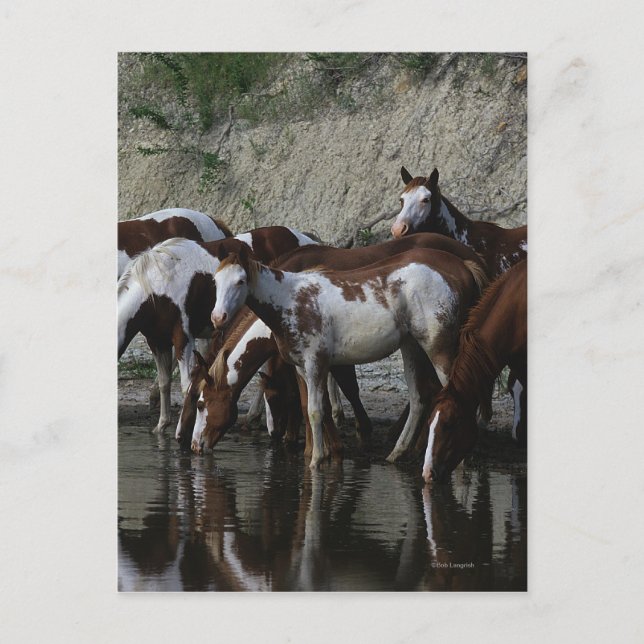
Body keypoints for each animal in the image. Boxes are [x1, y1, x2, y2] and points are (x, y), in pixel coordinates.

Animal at [118, 227, 317, 433]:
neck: (157, 285)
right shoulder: (157, 341)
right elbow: (164, 381)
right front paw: (162, 425)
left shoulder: (183, 337)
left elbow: (186, 385)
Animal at [187, 235, 488, 455]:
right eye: (215, 280)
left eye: (201, 404)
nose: (218, 317)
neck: (289, 299)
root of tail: (463, 266)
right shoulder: (301, 367)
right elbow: (308, 407)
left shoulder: (317, 364)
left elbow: (320, 408)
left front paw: (323, 455)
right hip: (412, 348)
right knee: (419, 398)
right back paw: (399, 452)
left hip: (439, 349)